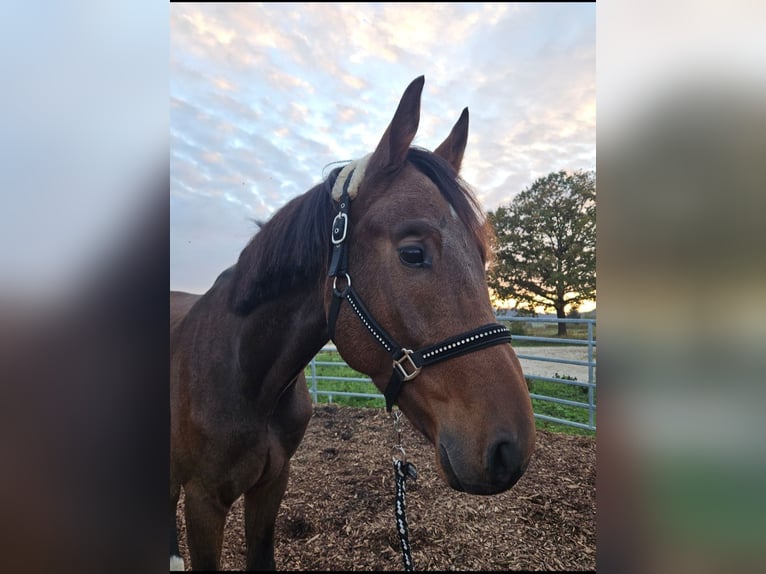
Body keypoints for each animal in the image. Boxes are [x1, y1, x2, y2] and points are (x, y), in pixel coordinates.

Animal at [171, 75, 536, 572]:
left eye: (482, 258)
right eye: (413, 253)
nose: (511, 450)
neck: (245, 374)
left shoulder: (272, 483)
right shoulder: (204, 501)